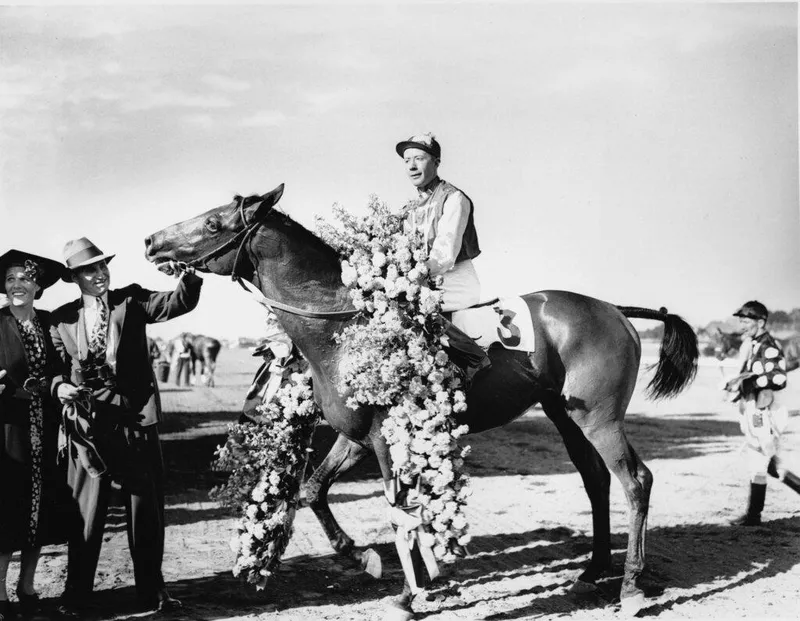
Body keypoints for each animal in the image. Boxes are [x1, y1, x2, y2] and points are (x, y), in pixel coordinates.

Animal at [144, 186, 700, 616]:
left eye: (213, 222)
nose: (151, 240)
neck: (344, 323)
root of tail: (614, 309)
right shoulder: (356, 436)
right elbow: (313, 491)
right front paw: (364, 559)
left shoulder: (388, 438)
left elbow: (400, 511)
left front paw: (412, 596)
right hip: (567, 415)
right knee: (596, 480)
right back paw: (591, 571)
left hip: (600, 417)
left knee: (635, 480)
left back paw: (631, 585)